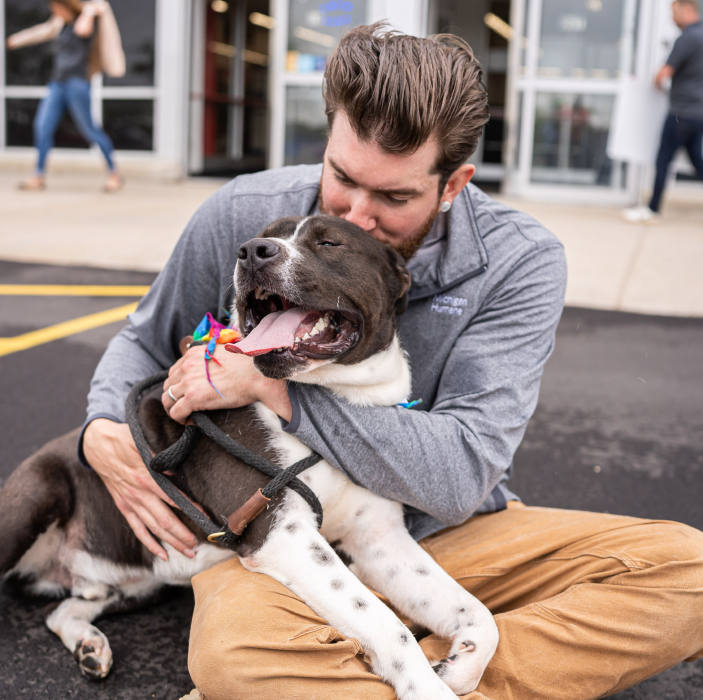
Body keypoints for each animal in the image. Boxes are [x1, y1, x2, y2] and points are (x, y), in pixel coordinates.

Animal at [0, 216, 498, 696]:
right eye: (262, 235)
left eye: (329, 243)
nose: (253, 251)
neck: (337, 397)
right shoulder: (281, 531)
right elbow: (384, 620)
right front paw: (430, 687)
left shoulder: (379, 537)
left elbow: (478, 614)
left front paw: (456, 667)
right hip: (33, 501)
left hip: (136, 581)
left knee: (64, 609)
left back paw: (90, 648)